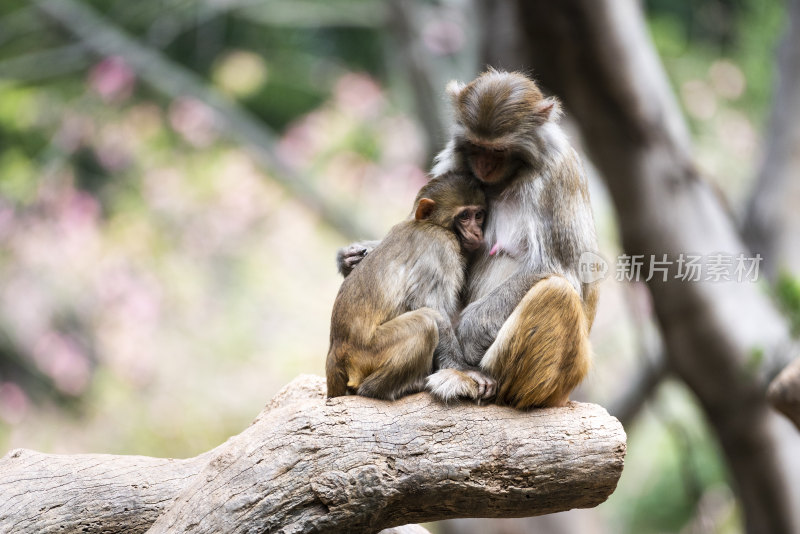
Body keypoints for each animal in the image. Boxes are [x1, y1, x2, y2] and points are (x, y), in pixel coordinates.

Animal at [324, 172, 488, 402]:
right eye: (465, 216)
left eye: (478, 215)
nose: (477, 232)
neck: (427, 224)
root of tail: (335, 355)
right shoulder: (440, 246)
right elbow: (431, 306)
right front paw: (463, 369)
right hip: (366, 354)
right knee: (425, 322)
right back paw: (379, 389)